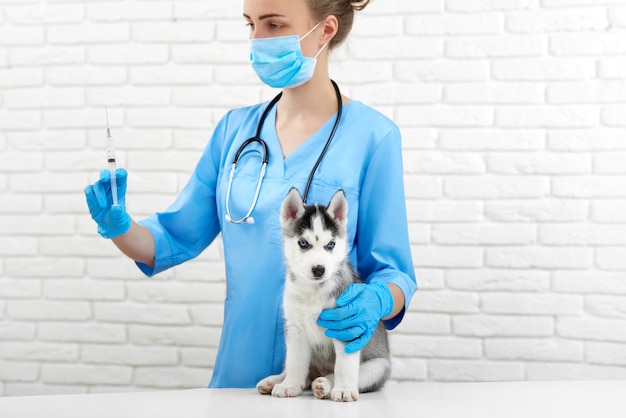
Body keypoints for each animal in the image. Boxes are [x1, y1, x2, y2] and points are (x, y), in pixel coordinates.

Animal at [256, 188, 388, 400]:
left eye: (331, 245)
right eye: (303, 243)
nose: (319, 269)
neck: (313, 291)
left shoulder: (347, 327)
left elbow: (344, 366)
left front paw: (343, 390)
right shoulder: (295, 329)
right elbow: (295, 363)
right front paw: (290, 385)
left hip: (379, 366)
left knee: (343, 373)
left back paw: (325, 385)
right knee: (299, 372)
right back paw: (275, 381)